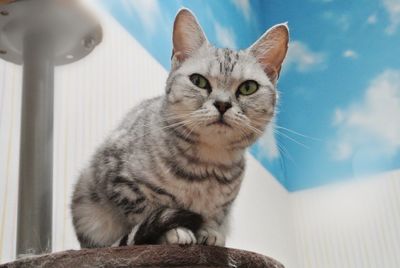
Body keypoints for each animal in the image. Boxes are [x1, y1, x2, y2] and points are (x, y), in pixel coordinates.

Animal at [72, 7, 290, 248]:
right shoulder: (121, 181)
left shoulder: (223, 207)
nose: (223, 104)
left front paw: (210, 232)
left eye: (248, 87)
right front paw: (175, 231)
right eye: (199, 81)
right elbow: (149, 211)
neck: (208, 166)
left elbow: (215, 216)